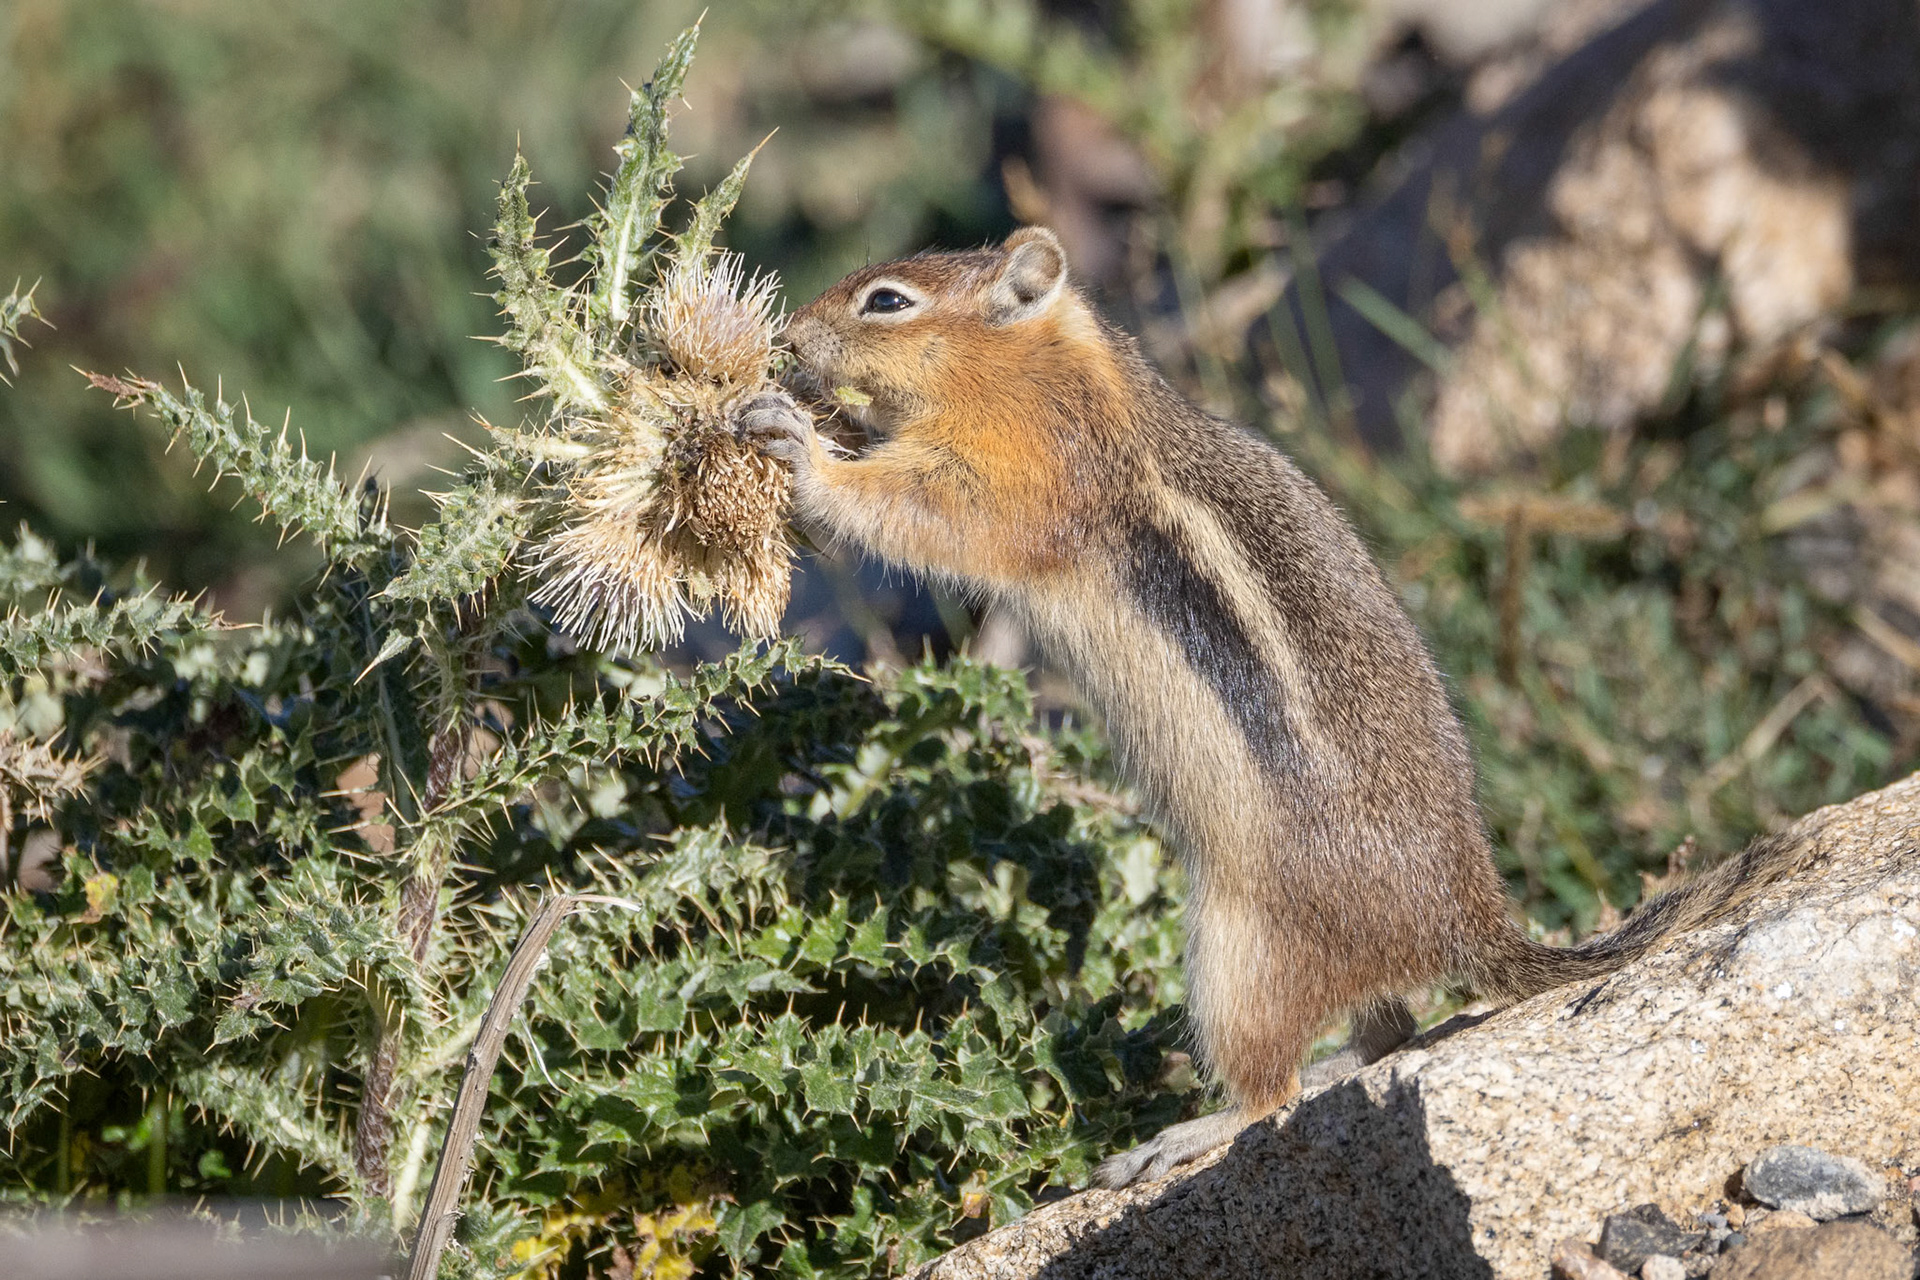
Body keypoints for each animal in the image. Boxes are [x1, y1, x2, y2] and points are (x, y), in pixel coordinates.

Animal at [737, 226, 1807, 1188]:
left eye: (886, 300)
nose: (787, 336)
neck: (1057, 375)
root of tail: (1465, 921)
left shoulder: (1017, 476)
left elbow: (925, 515)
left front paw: (799, 446)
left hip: (1237, 955)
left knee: (1272, 1089)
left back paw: (1178, 1138)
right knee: (1387, 1035)